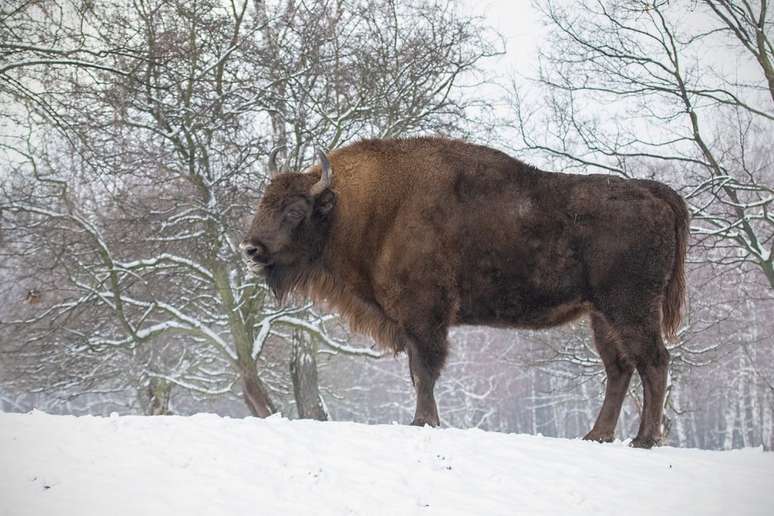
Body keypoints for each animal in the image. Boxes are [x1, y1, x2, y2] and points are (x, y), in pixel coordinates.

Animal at [244, 137, 692, 448]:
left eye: (294, 210)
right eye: (263, 201)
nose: (251, 248)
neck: (369, 208)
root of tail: (653, 193)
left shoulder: (424, 315)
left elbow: (424, 370)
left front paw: (423, 421)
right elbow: (418, 371)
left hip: (631, 308)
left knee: (653, 362)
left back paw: (643, 439)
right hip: (601, 315)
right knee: (619, 369)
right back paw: (596, 435)